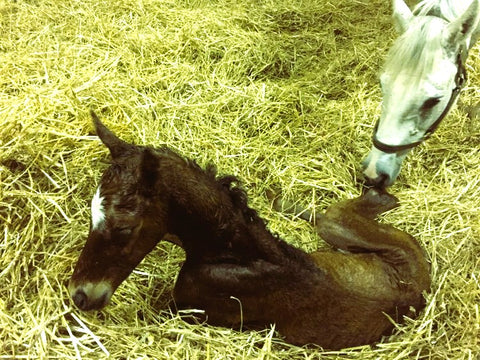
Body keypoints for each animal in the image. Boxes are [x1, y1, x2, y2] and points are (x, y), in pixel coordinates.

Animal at [68, 112, 432, 348]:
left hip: (339, 224)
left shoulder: (182, 309)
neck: (231, 252)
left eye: (123, 227)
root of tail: (416, 287)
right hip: (337, 230)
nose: (80, 295)